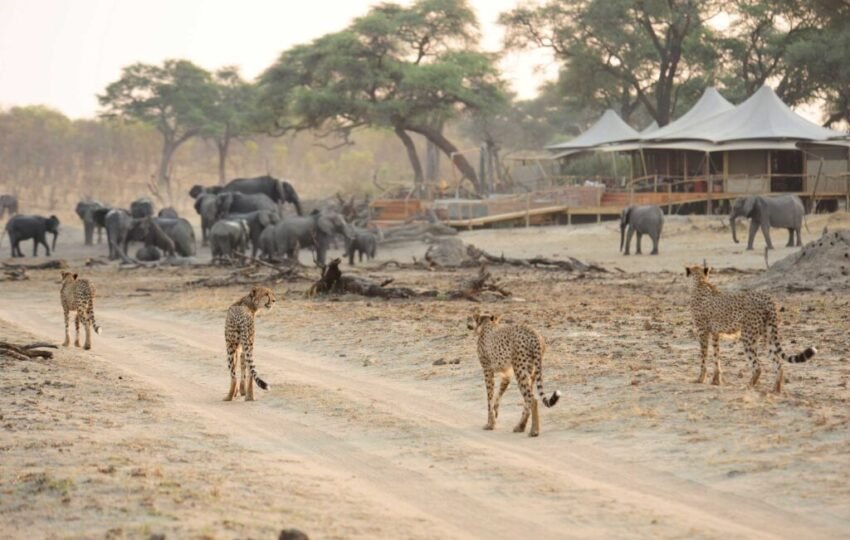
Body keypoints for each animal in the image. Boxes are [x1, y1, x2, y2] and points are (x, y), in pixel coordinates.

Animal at [686, 265, 816, 393]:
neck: (700, 281)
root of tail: (766, 297)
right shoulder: (714, 333)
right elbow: (716, 356)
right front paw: (716, 380)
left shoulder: (702, 332)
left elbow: (703, 357)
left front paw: (700, 379)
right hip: (768, 335)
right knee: (779, 364)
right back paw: (776, 390)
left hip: (747, 336)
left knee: (758, 366)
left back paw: (747, 386)